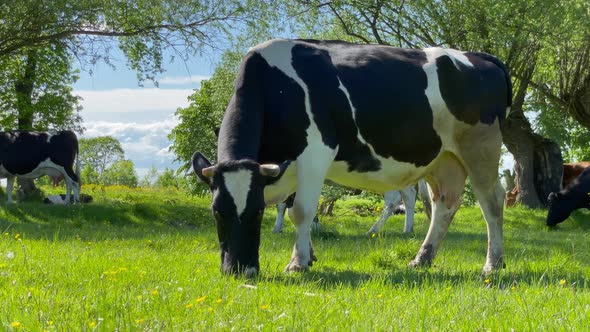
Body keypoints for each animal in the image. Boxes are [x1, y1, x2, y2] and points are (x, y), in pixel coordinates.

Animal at [192, 39, 512, 278]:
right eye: (216, 211)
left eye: (258, 212)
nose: (239, 270)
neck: (275, 86)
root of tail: (478, 56)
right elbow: (296, 209)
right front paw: (309, 256)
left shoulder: (315, 154)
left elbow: (301, 211)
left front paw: (297, 263)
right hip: (444, 159)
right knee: (444, 203)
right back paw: (422, 259)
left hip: (480, 147)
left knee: (492, 201)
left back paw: (492, 264)